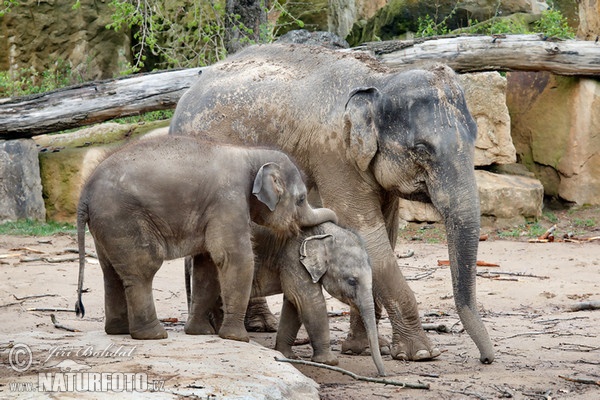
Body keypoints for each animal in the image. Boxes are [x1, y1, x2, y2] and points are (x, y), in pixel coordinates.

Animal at [74, 135, 338, 340]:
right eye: (302, 199)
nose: (333, 223)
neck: (250, 153)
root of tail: (84, 195)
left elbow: (207, 265)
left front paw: (200, 333)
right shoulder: (228, 200)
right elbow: (235, 258)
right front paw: (237, 338)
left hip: (107, 227)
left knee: (111, 272)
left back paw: (119, 331)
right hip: (123, 219)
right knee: (143, 269)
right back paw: (153, 335)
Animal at [185, 223, 386, 376]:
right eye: (351, 281)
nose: (381, 374)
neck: (322, 233)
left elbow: (293, 303)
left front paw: (286, 355)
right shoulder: (293, 256)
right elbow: (309, 301)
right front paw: (329, 362)